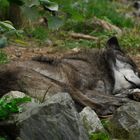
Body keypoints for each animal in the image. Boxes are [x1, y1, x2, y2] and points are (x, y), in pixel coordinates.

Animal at [0, 36, 140, 116]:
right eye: (133, 67)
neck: (100, 67)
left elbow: (119, 95)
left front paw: (133, 94)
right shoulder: (85, 90)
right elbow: (115, 97)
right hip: (58, 84)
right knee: (78, 97)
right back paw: (104, 108)